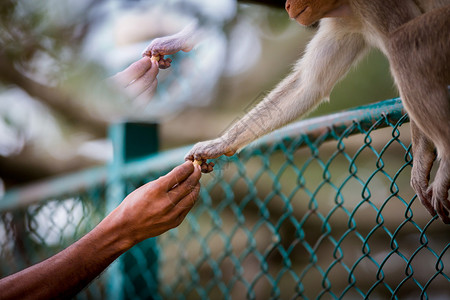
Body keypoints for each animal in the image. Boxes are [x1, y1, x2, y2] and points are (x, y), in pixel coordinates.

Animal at [145, 1, 450, 224]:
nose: (288, 5)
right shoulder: (343, 17)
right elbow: (309, 85)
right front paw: (219, 144)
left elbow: (402, 29)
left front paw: (422, 158)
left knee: (403, 44)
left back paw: (445, 158)